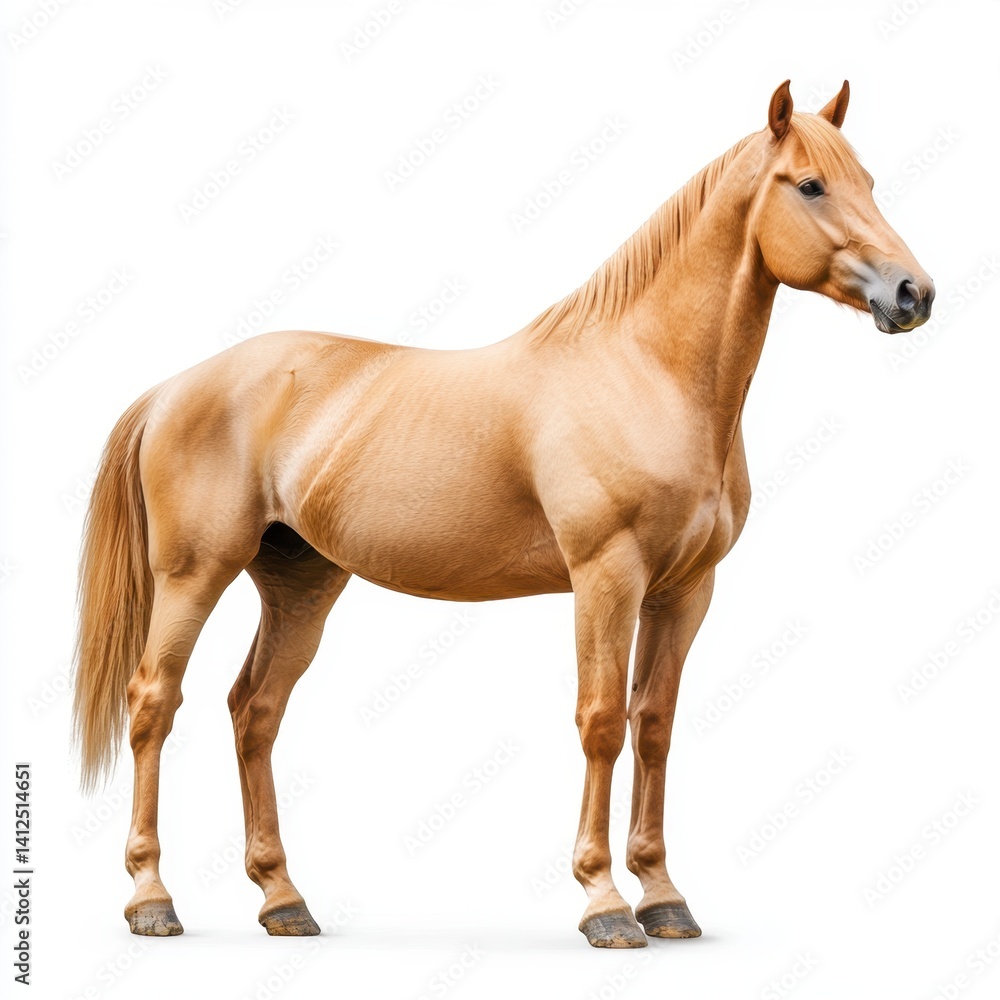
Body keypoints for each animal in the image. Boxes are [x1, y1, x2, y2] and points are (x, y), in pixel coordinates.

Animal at [72, 79, 934, 948]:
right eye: (811, 185)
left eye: (868, 182)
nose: (912, 293)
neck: (643, 372)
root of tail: (173, 388)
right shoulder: (606, 577)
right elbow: (602, 722)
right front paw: (605, 903)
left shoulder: (685, 589)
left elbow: (654, 724)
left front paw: (664, 897)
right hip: (195, 574)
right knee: (153, 702)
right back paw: (151, 898)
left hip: (301, 583)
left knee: (255, 710)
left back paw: (282, 899)